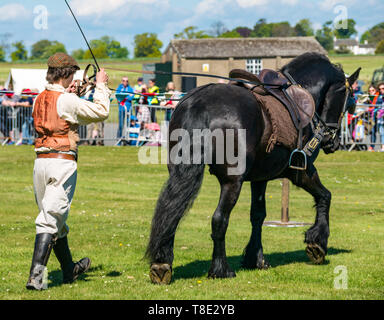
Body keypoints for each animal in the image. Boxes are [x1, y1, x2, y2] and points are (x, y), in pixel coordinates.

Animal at [146, 53, 362, 284]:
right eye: (349, 101)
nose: (333, 142)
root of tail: (198, 103)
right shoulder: (300, 171)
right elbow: (325, 196)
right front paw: (317, 243)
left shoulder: (260, 178)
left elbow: (257, 215)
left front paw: (255, 257)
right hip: (233, 181)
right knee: (219, 219)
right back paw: (221, 269)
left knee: (170, 211)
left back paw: (162, 262)